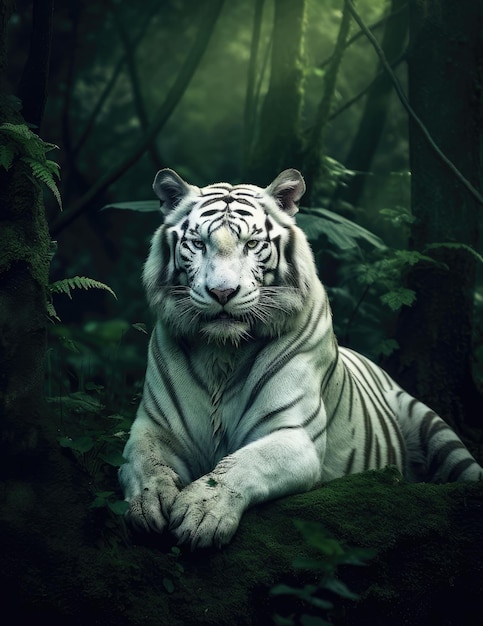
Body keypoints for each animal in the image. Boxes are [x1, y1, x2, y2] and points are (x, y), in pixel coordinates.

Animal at [118, 166, 483, 544]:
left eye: (251, 244)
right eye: (199, 243)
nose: (222, 292)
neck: (223, 353)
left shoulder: (294, 433)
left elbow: (238, 466)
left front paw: (200, 512)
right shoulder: (154, 426)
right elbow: (146, 464)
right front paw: (147, 504)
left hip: (433, 426)